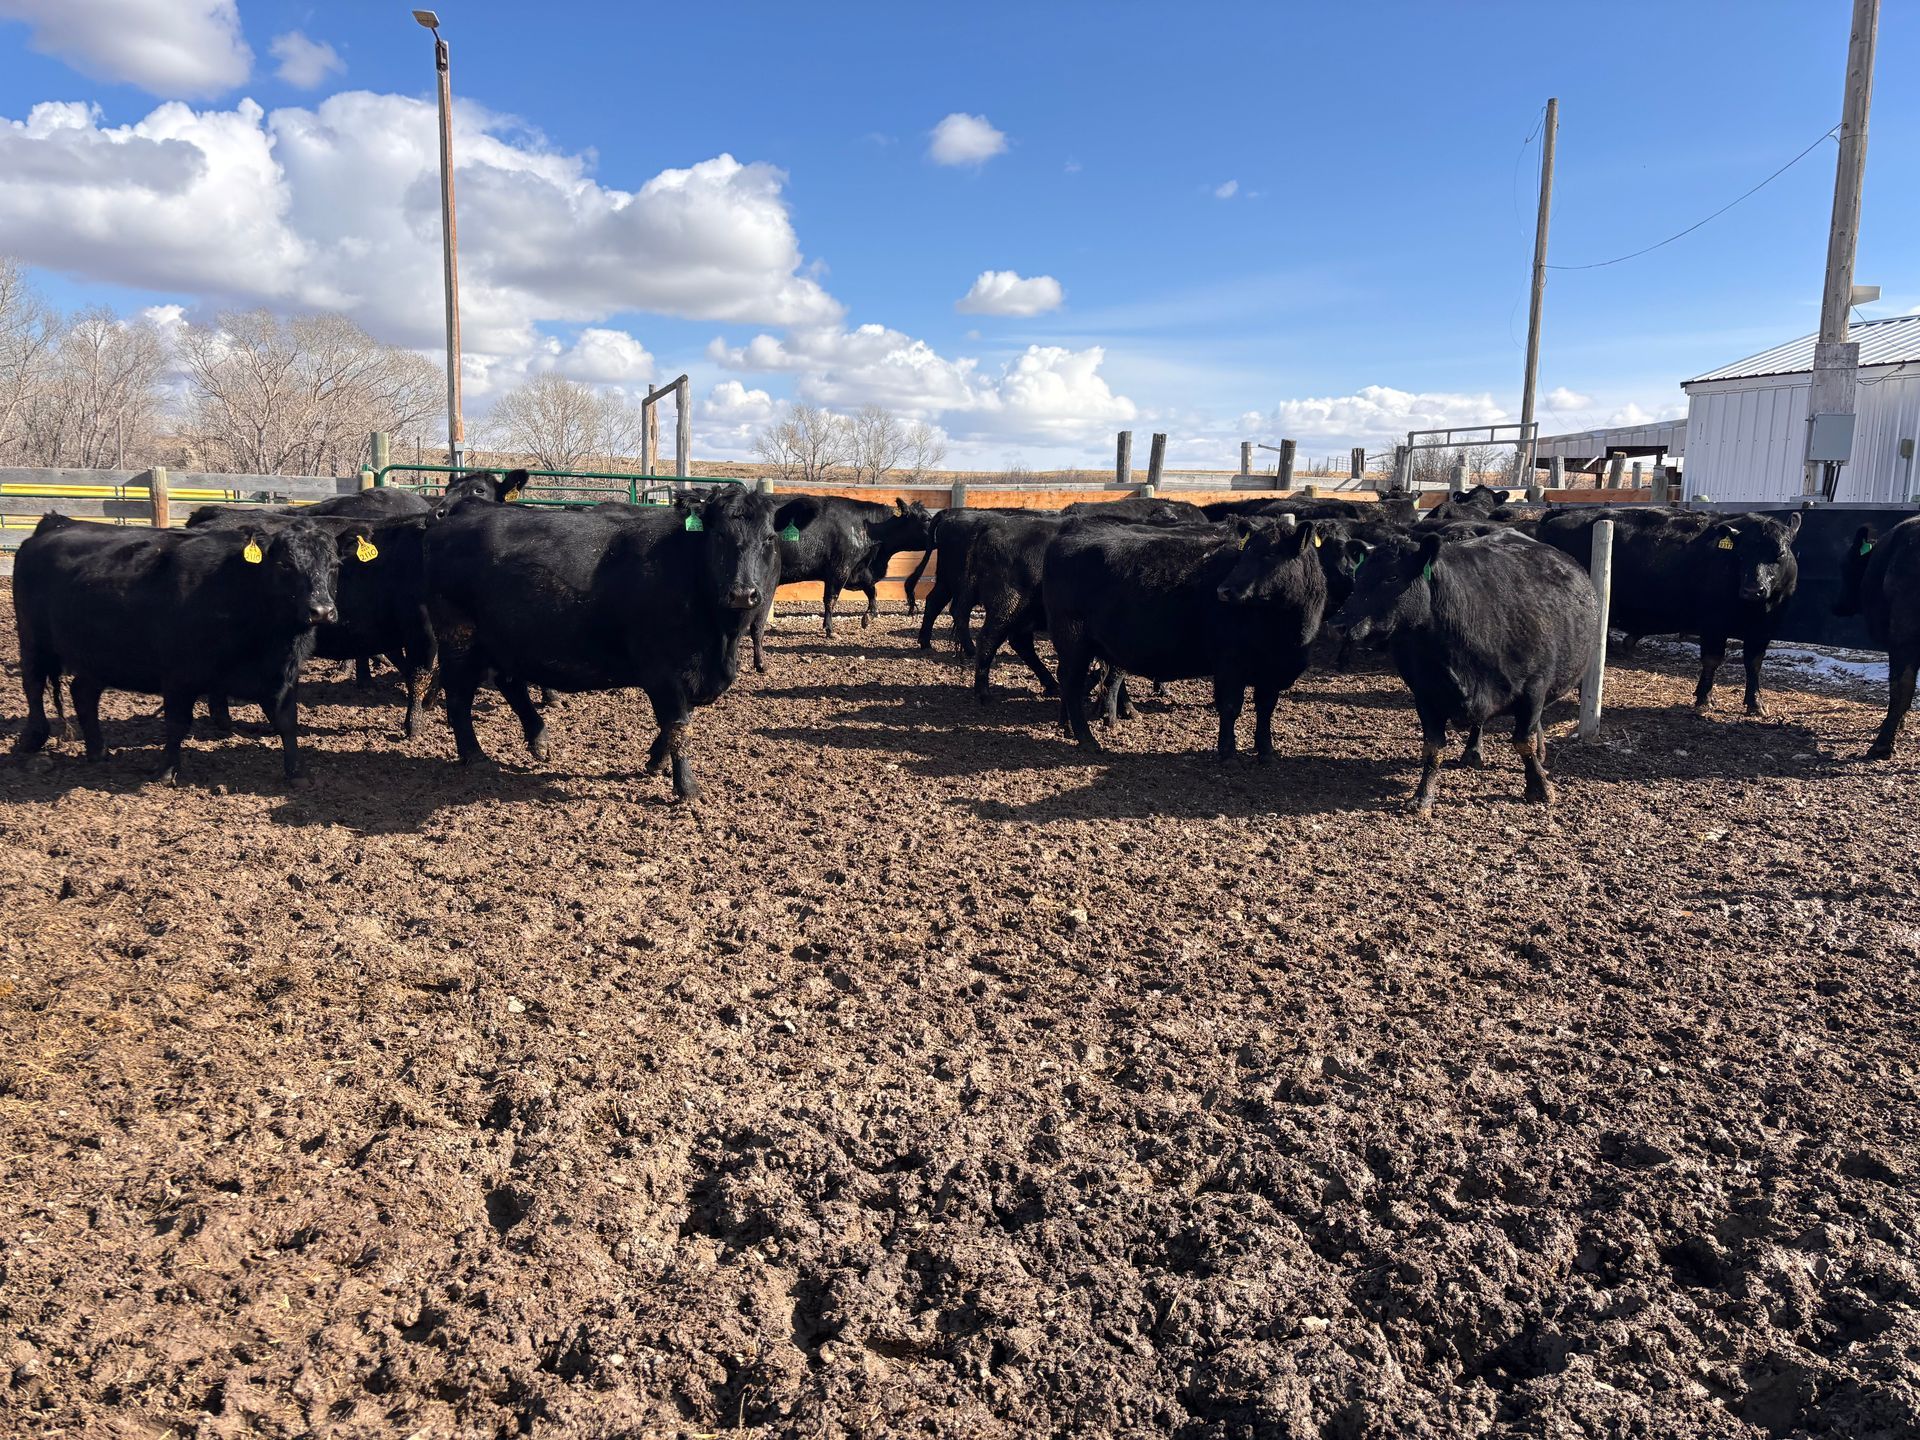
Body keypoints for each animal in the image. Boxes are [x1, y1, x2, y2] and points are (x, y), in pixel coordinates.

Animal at [12, 514, 340, 783]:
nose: (322, 611)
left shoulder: (282, 677)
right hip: (33, 640)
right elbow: (177, 723)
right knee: (33, 683)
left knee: (82, 691)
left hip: (99, 655)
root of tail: (57, 523)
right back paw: (33, 739)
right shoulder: (179, 675)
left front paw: (296, 774)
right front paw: (166, 770)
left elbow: (287, 722)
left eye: (334, 567)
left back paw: (98, 751)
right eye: (285, 564)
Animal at [423, 486, 778, 800]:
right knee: (459, 695)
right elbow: (677, 725)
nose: (743, 593)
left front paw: (655, 761)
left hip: (505, 640)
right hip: (459, 638)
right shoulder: (663, 671)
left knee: (510, 683)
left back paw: (539, 740)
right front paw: (687, 788)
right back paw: (475, 755)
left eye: (769, 539)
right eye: (719, 536)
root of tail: (463, 508)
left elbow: (675, 725)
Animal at [1042, 514, 1327, 760]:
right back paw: (1086, 739)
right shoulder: (1229, 663)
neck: (1287, 632)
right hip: (1073, 642)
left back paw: (1070, 728)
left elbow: (1266, 709)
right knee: (1071, 684)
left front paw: (1266, 751)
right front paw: (1227, 752)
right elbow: (1230, 707)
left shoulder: (1272, 672)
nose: (1223, 590)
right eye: (1244, 552)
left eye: (1270, 554)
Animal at [1333, 527, 1597, 810]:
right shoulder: (1425, 695)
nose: (1338, 623)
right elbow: (1433, 748)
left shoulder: (1534, 688)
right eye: (1358, 576)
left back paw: (1539, 752)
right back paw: (1473, 751)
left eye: (1392, 576)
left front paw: (1539, 787)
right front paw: (1422, 797)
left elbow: (1523, 741)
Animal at [1536, 505, 1801, 715]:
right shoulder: (1713, 624)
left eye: (1779, 553)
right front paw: (1704, 699)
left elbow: (1754, 663)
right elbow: (1712, 659)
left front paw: (1755, 703)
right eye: (1741, 554)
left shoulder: (1765, 627)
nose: (1752, 589)